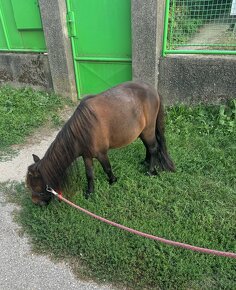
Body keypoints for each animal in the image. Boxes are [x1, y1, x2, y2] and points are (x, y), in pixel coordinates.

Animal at [26, 81, 175, 204]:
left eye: (34, 185)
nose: (36, 203)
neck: (82, 131)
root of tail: (153, 89)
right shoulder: (86, 156)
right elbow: (89, 174)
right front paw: (90, 192)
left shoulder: (101, 154)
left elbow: (107, 168)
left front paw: (112, 180)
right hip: (142, 132)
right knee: (148, 147)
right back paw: (146, 162)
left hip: (149, 129)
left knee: (153, 148)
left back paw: (150, 171)